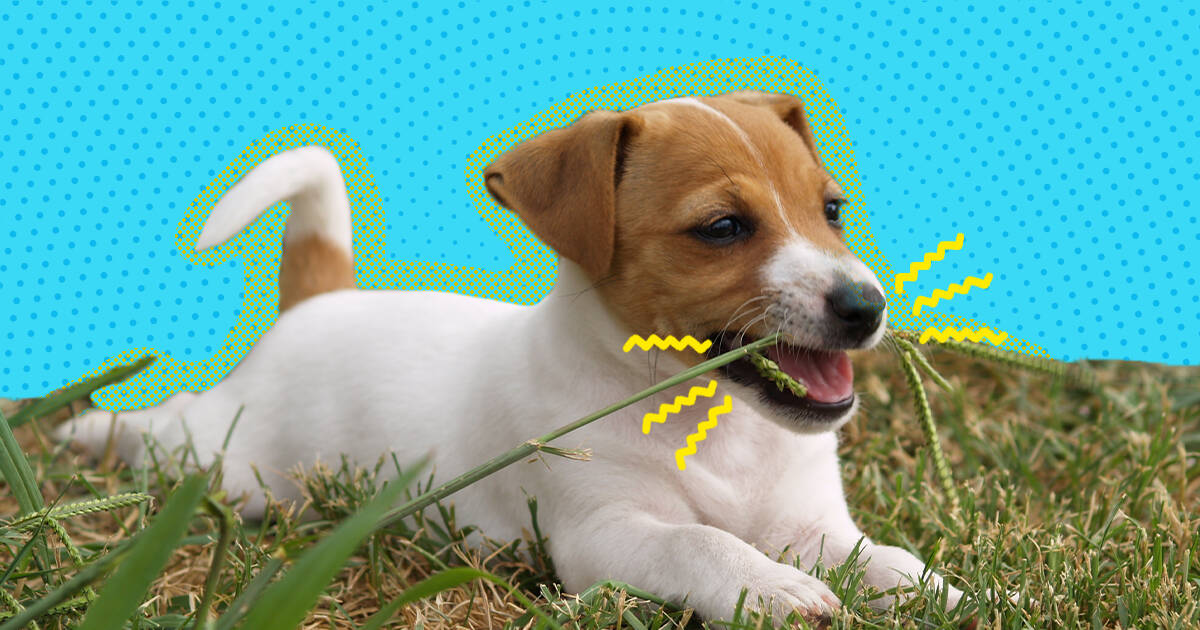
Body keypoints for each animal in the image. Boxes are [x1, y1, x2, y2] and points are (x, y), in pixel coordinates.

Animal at [58, 90, 964, 619]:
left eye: (831, 210)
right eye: (722, 228)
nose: (866, 306)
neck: (715, 423)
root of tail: (323, 299)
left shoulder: (810, 524)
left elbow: (886, 558)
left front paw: (946, 590)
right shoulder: (602, 536)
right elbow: (697, 543)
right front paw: (773, 588)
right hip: (232, 466)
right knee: (169, 432)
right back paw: (87, 432)